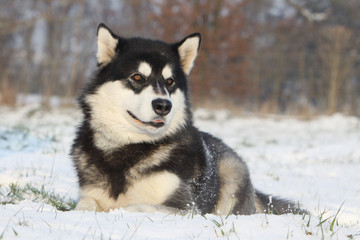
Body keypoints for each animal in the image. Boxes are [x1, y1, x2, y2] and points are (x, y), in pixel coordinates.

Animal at [71, 23, 304, 216]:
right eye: (137, 77)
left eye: (170, 81)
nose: (163, 105)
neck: (131, 147)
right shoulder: (89, 195)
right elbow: (83, 205)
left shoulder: (187, 207)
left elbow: (135, 207)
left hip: (230, 171)